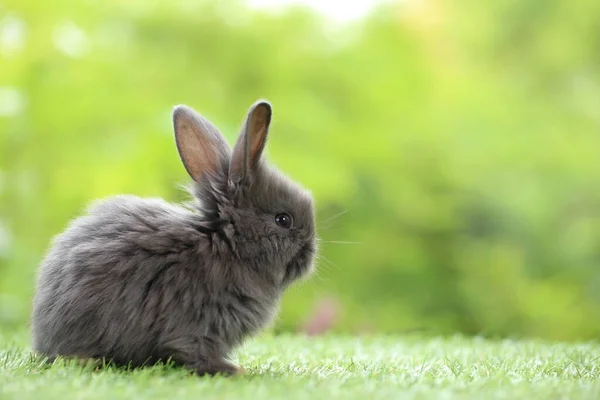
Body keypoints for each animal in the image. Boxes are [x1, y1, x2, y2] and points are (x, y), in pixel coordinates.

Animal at [31, 99, 318, 376]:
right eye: (283, 220)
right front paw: (235, 371)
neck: (225, 244)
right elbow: (194, 350)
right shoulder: (200, 322)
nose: (311, 254)